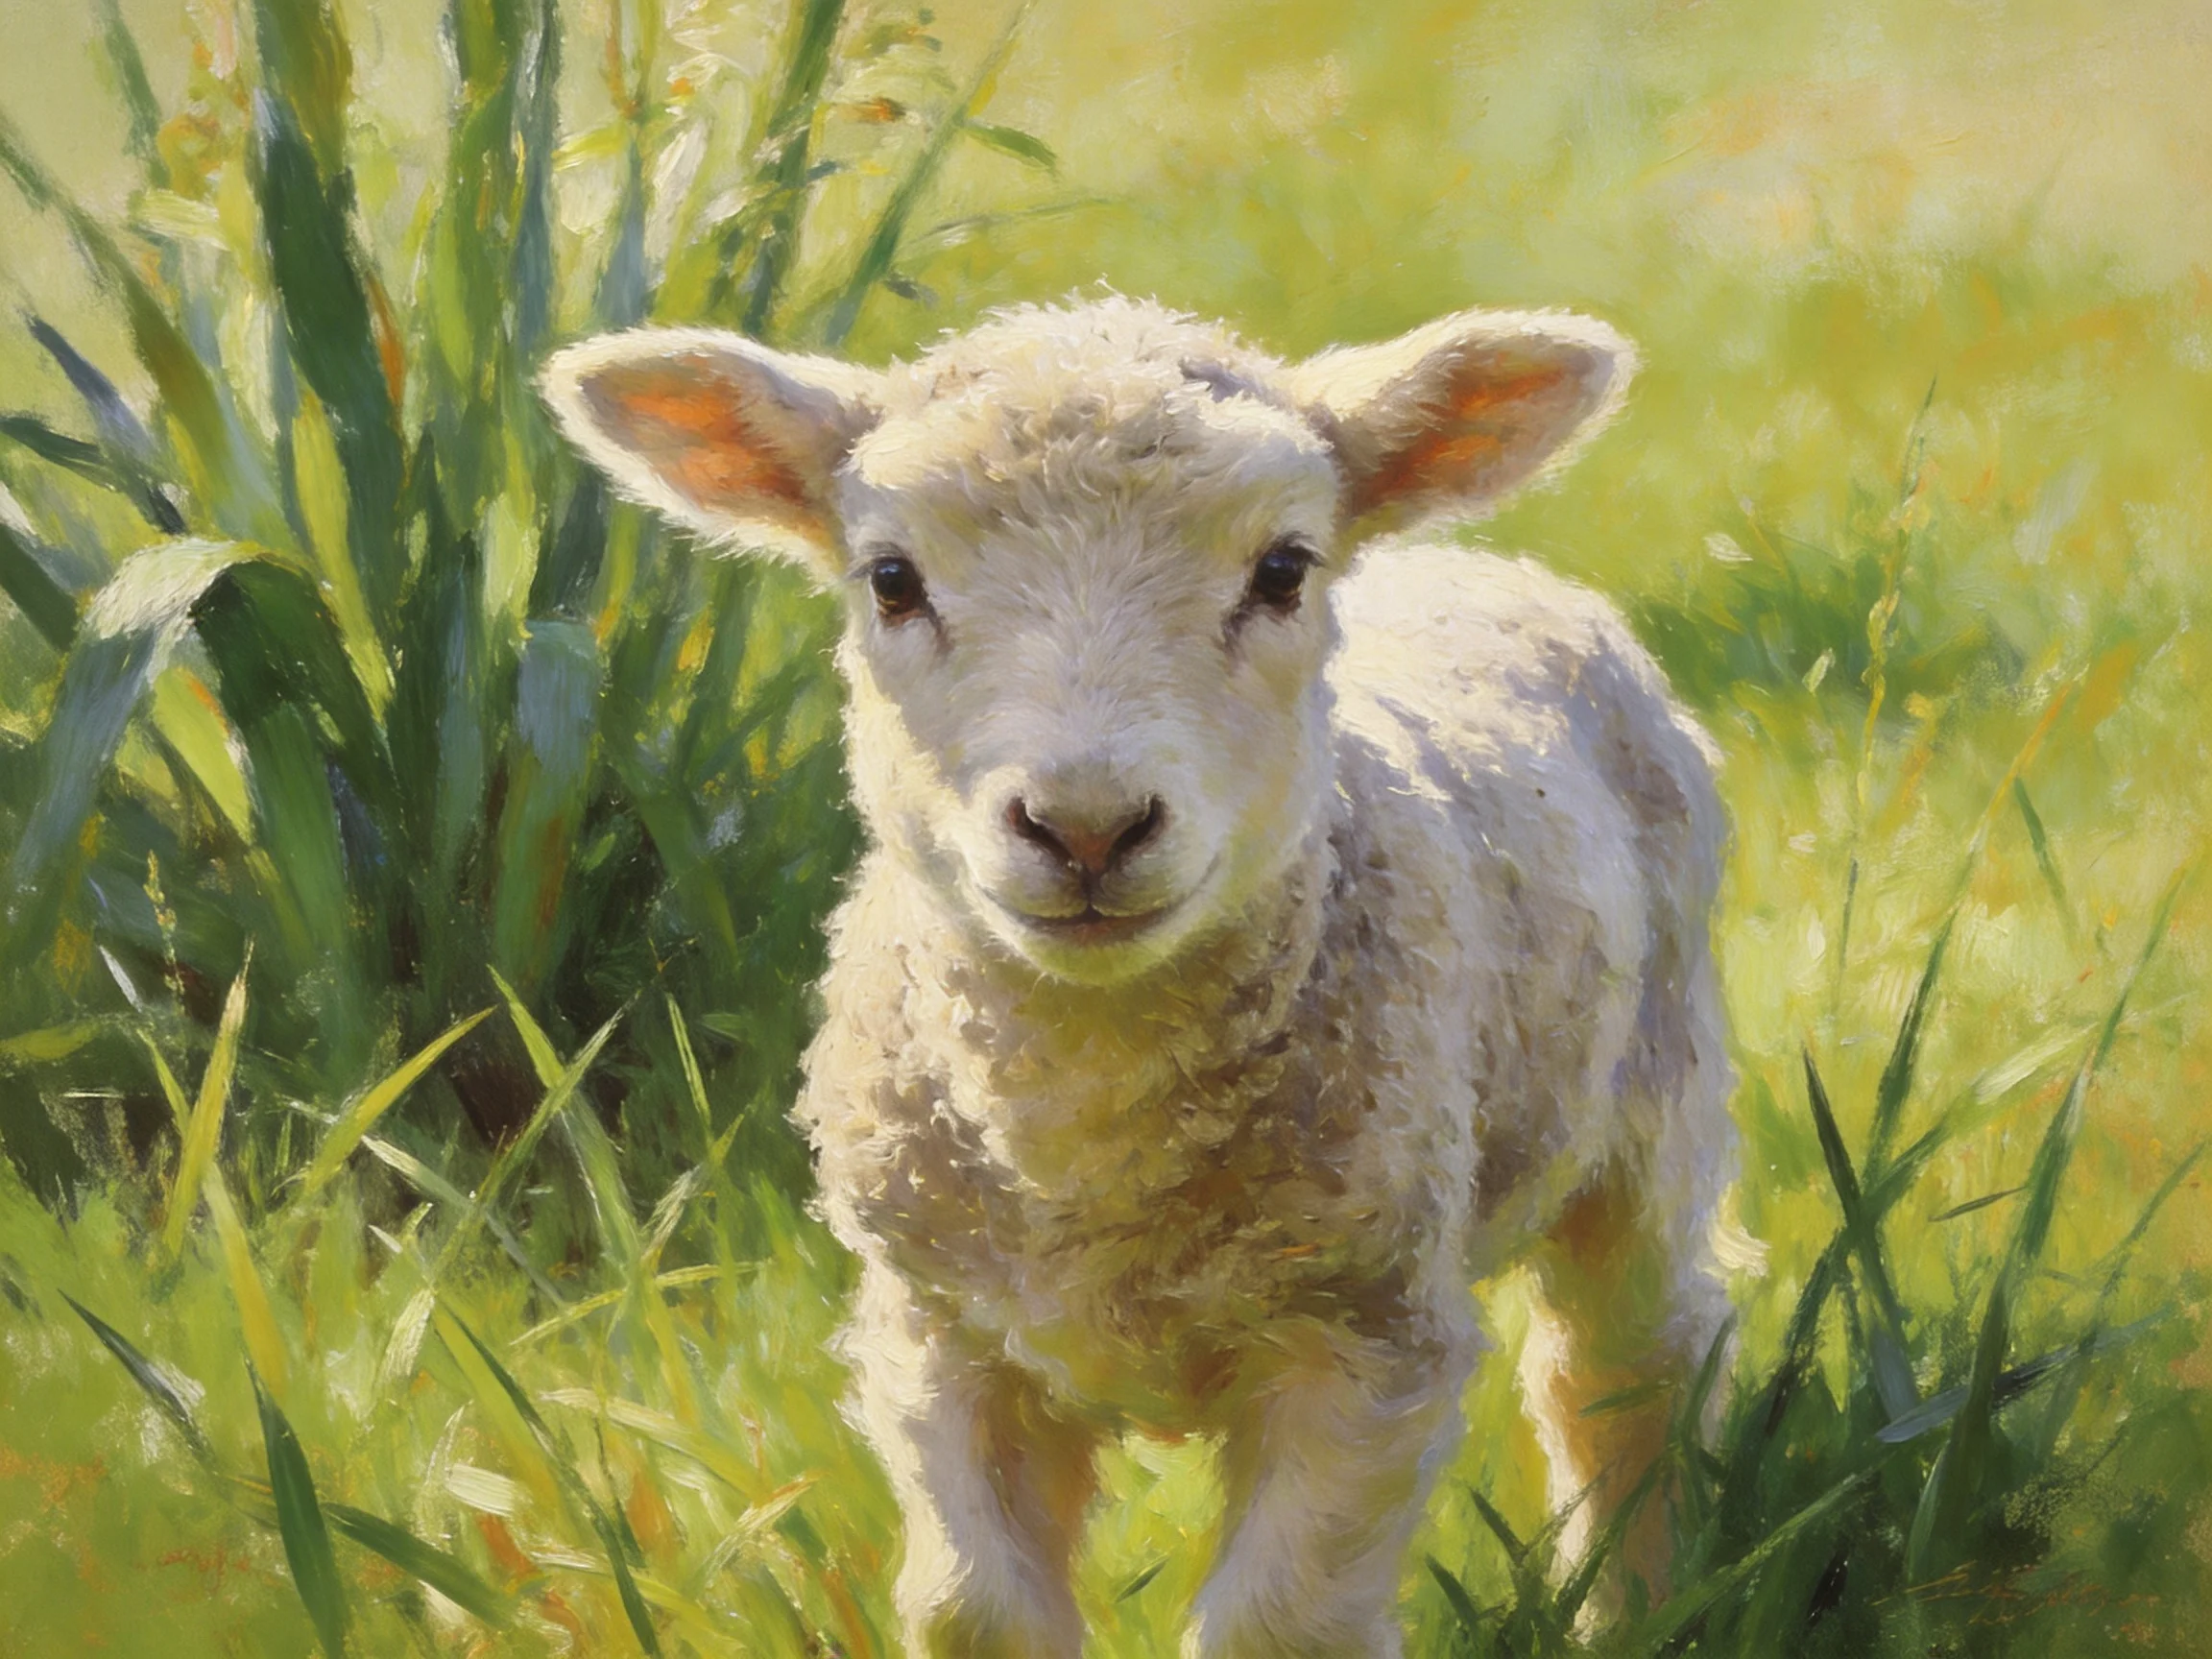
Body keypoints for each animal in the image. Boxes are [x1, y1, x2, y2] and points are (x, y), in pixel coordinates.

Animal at [543, 295, 1737, 1659]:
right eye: (891, 579)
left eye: (1282, 570)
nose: (1087, 826)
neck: (1090, 1143)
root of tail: (1482, 563)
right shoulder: (939, 1334)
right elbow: (976, 1615)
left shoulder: (1367, 1334)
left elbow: (1279, 1629)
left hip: (1655, 1090)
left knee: (1628, 1361)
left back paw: (1640, 1599)